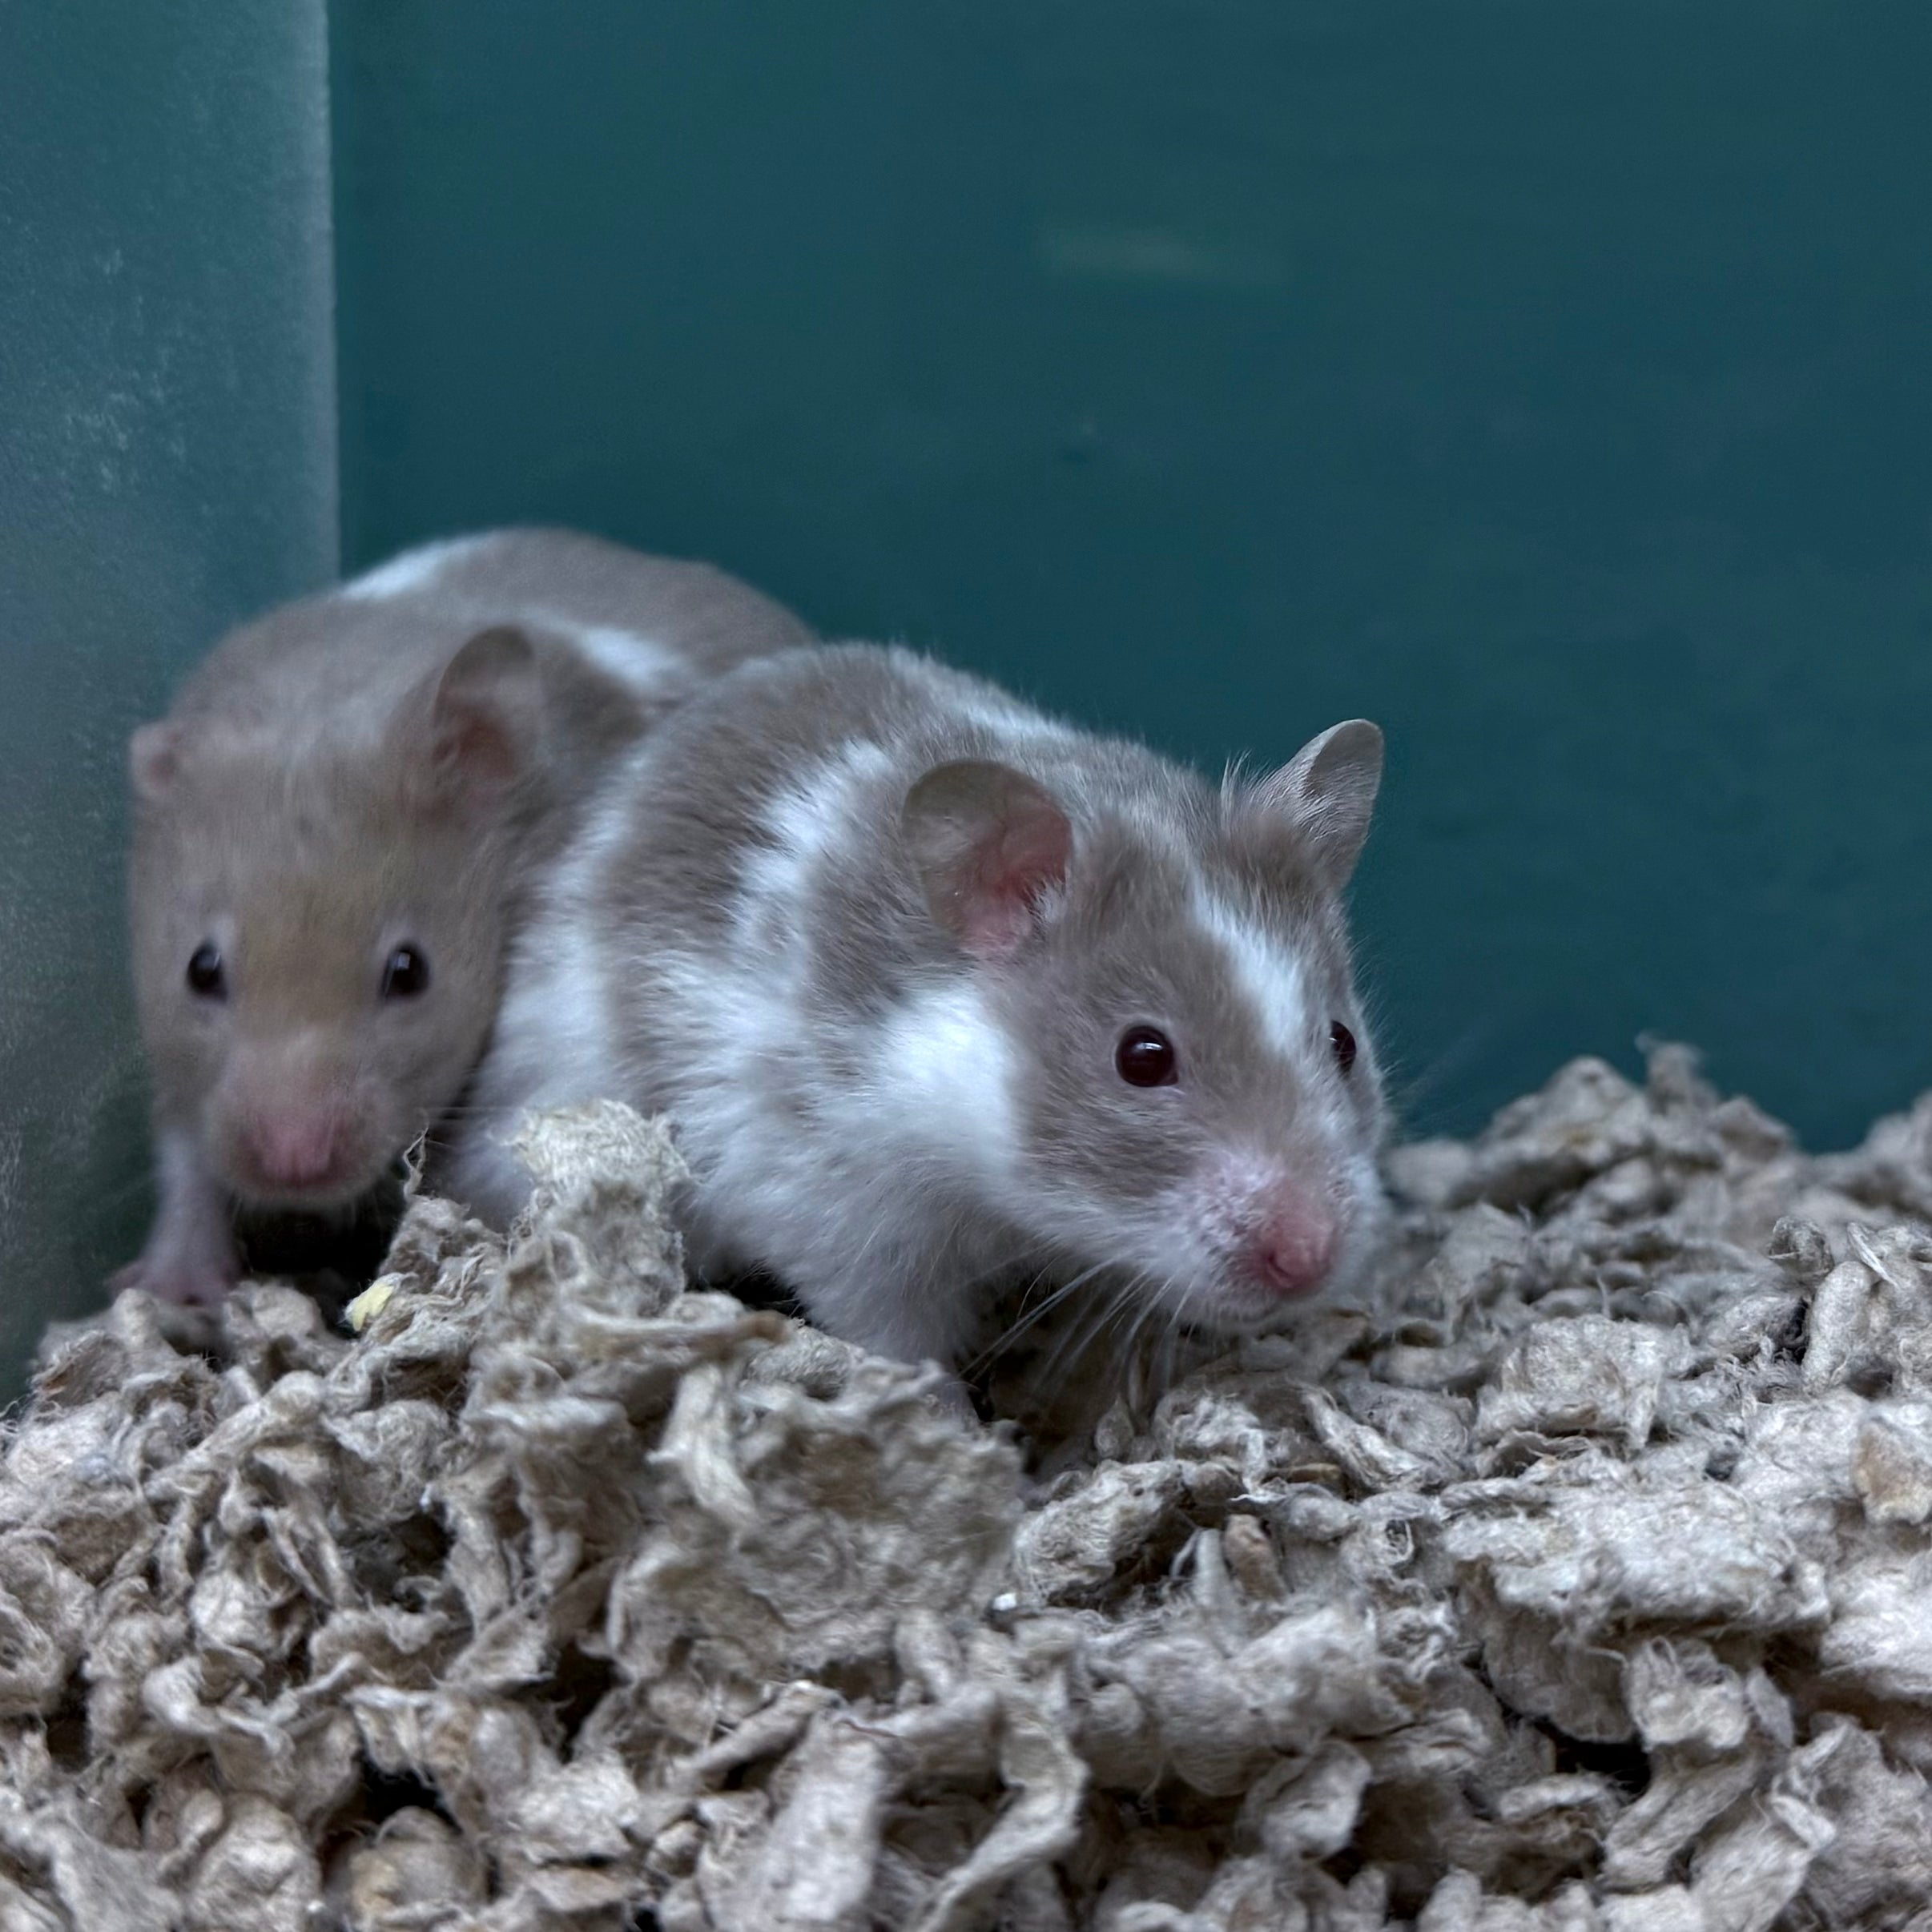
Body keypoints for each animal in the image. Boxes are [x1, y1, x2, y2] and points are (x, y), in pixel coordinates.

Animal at [121, 528, 814, 1306]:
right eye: (200, 969)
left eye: (409, 971)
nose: (294, 1165)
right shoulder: (181, 1077)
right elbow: (186, 1158)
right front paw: (173, 1289)